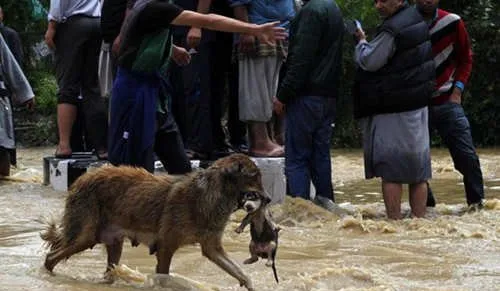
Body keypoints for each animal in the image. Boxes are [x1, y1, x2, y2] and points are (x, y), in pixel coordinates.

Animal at [40, 154, 268, 290]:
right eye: (254, 176)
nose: (268, 199)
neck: (212, 194)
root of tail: (81, 179)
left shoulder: (212, 248)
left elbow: (240, 272)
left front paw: (249, 284)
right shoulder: (166, 247)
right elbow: (164, 275)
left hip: (112, 243)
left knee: (109, 270)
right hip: (85, 237)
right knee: (50, 257)